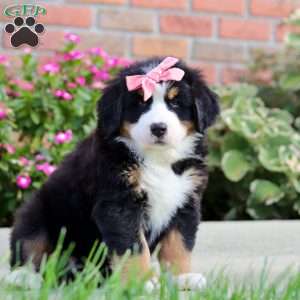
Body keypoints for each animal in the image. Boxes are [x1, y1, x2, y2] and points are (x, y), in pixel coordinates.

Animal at [10, 56, 219, 290]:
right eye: (140, 103)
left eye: (175, 103)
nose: (158, 128)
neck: (158, 159)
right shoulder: (119, 203)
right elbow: (134, 246)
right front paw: (141, 282)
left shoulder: (186, 200)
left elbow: (179, 244)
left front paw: (182, 277)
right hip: (35, 214)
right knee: (31, 249)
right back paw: (25, 277)